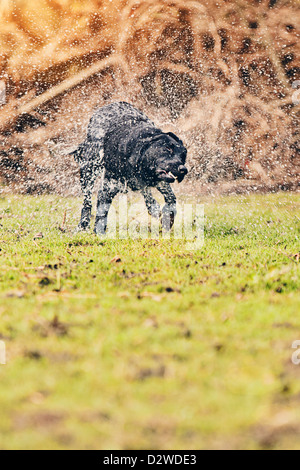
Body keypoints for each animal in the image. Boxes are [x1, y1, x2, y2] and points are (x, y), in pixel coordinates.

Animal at [72, 103, 188, 235]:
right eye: (168, 148)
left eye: (183, 155)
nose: (183, 169)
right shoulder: (108, 186)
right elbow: (102, 211)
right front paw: (99, 232)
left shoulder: (159, 182)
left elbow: (171, 199)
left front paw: (168, 217)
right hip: (88, 170)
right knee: (87, 202)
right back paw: (83, 225)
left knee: (147, 194)